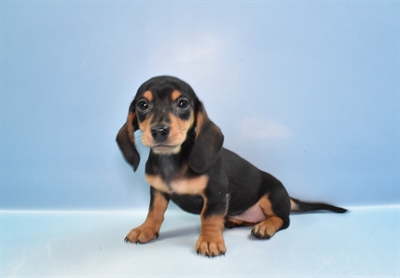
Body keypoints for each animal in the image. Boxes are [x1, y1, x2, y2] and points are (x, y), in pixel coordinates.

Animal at [116, 75, 346, 256]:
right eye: (142, 105)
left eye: (182, 103)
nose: (159, 131)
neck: (171, 159)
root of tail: (288, 196)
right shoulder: (158, 191)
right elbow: (154, 212)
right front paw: (145, 229)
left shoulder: (216, 192)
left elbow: (209, 217)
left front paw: (210, 240)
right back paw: (235, 221)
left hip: (272, 196)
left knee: (283, 219)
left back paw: (266, 227)